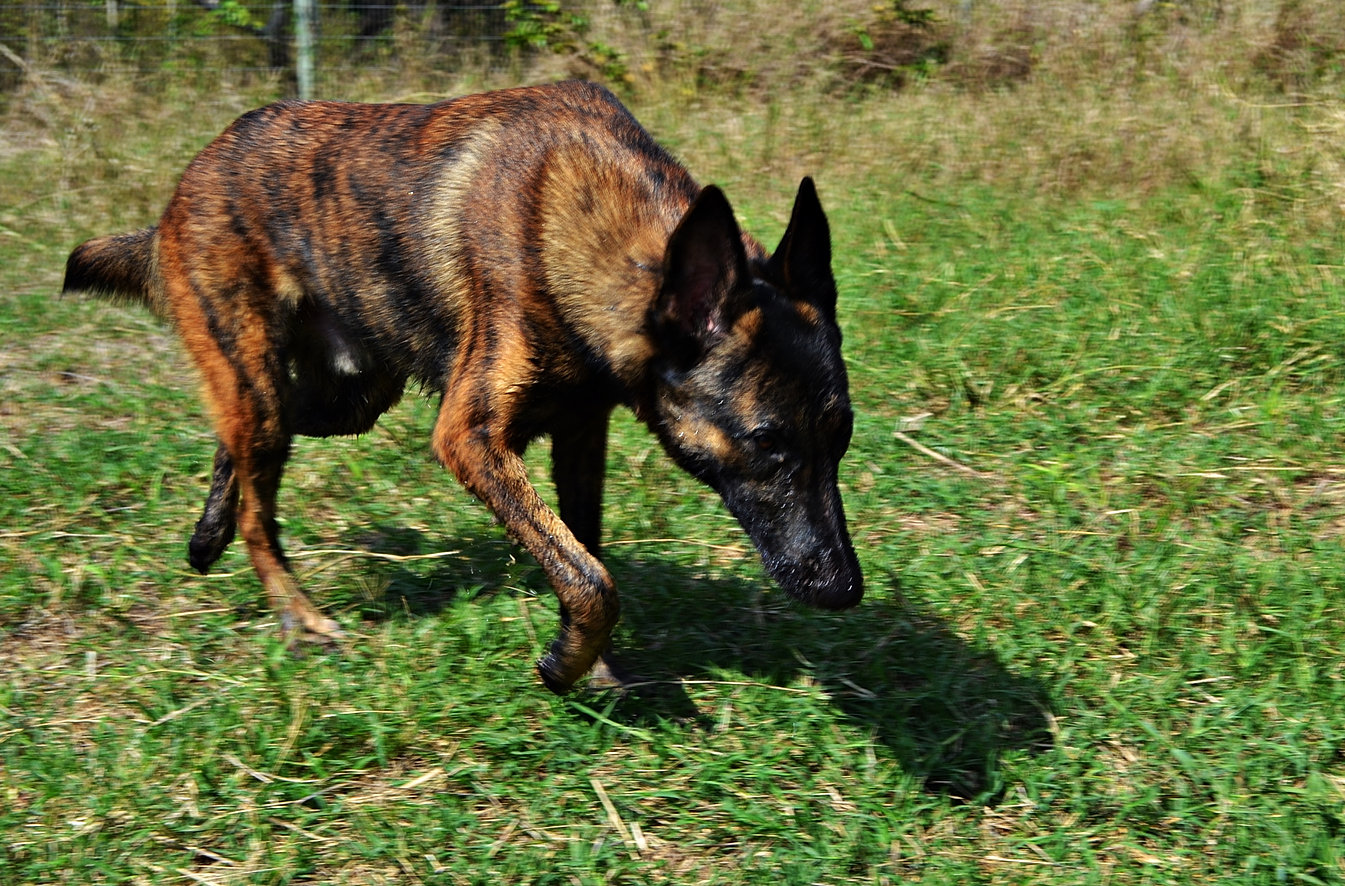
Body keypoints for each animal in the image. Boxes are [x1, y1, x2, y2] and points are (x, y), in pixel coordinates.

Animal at [60, 81, 860, 693]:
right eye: (767, 442)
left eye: (842, 438)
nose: (845, 588)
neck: (599, 235)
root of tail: (185, 181)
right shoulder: (468, 437)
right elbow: (592, 578)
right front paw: (566, 665)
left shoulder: (580, 433)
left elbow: (583, 553)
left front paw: (591, 662)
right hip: (267, 383)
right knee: (260, 500)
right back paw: (296, 614)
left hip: (344, 400)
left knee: (241, 443)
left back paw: (208, 532)